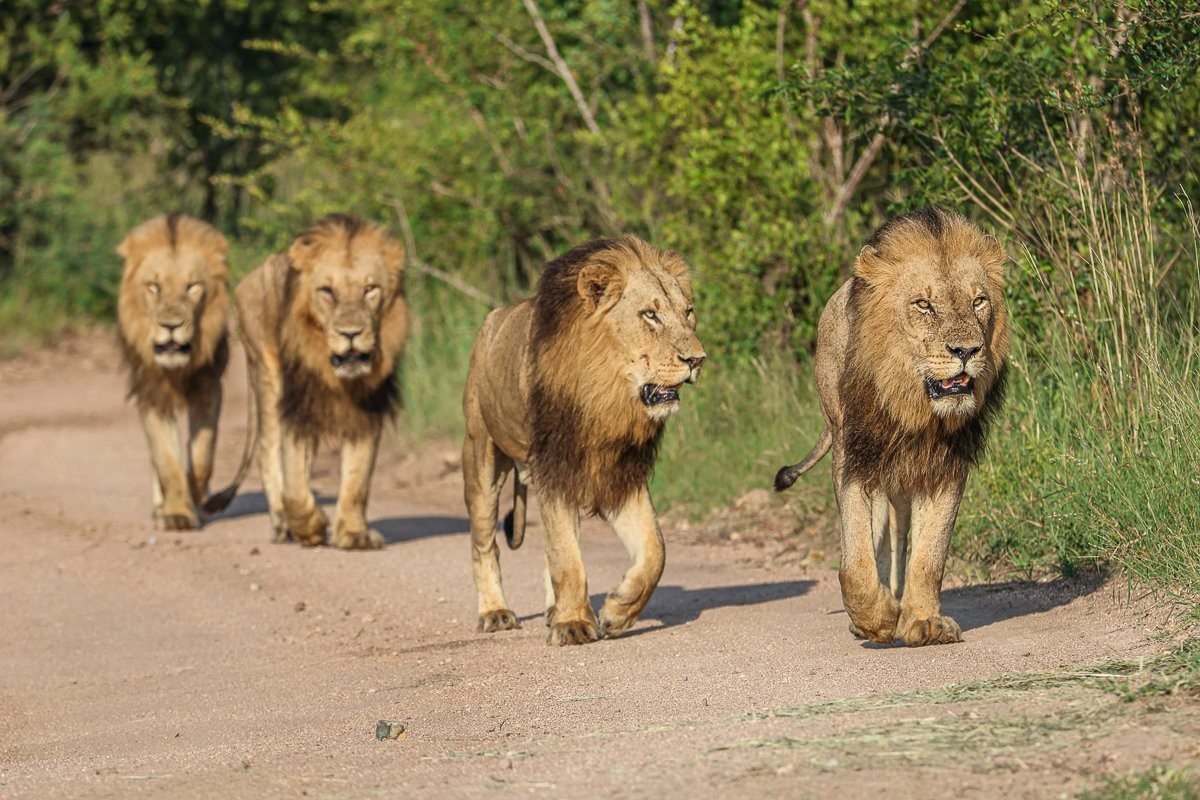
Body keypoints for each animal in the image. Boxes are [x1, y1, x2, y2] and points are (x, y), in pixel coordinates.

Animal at [117, 213, 231, 531]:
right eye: (153, 286)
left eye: (192, 286)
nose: (171, 326)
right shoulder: (151, 395)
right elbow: (167, 460)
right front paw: (177, 512)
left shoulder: (209, 388)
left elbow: (203, 453)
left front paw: (197, 495)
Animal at [205, 214, 407, 549]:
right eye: (327, 291)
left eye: (370, 289)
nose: (351, 333)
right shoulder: (296, 402)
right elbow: (295, 483)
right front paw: (310, 527)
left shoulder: (368, 406)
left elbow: (358, 476)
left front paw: (353, 534)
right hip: (266, 372)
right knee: (268, 452)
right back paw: (282, 524)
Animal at [462, 236, 706, 645]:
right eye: (650, 315)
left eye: (688, 312)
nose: (697, 360)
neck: (606, 397)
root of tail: (491, 320)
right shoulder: (553, 466)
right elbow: (566, 556)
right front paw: (574, 623)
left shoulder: (621, 472)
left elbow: (655, 550)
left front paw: (617, 611)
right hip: (482, 460)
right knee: (484, 543)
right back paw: (495, 613)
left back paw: (552, 609)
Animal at [774, 207, 1010, 647]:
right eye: (924, 305)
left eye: (979, 301)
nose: (967, 350)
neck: (913, 408)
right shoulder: (855, 459)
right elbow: (856, 557)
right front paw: (875, 617)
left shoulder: (946, 467)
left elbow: (930, 556)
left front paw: (923, 620)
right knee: (878, 541)